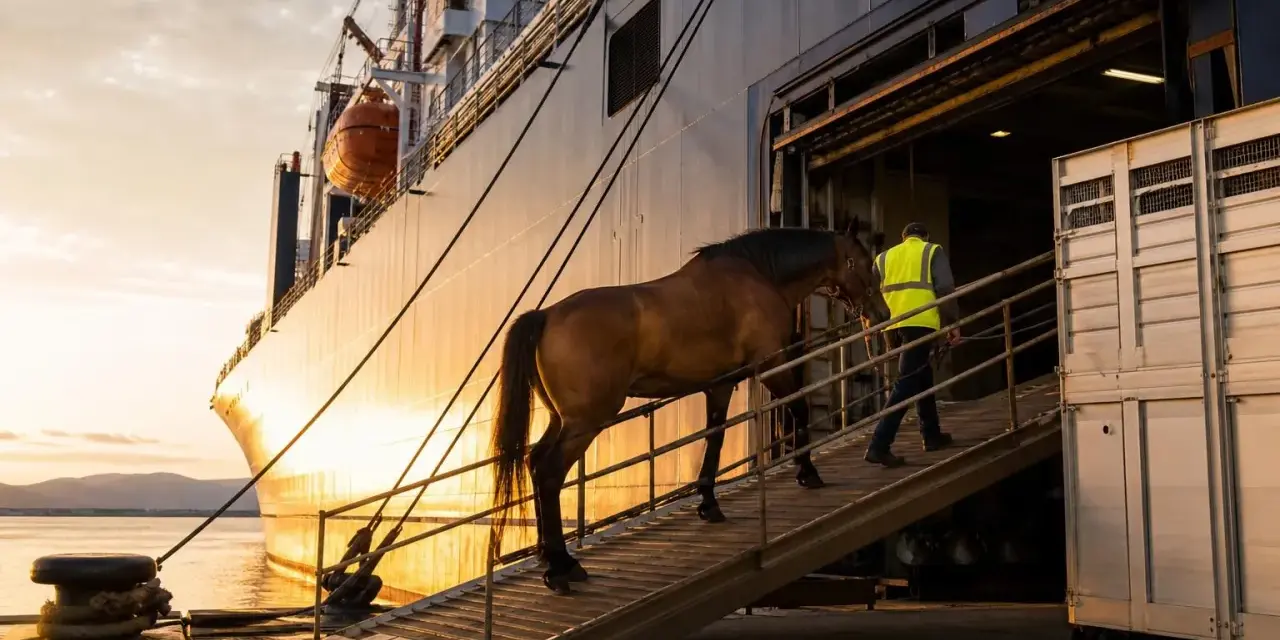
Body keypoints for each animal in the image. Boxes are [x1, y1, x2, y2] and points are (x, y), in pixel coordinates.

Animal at [488, 224, 890, 594]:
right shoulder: (771, 364)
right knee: (549, 474)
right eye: (864, 263)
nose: (881, 312)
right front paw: (808, 473)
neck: (759, 275)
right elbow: (799, 408)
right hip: (583, 423)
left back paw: (549, 556)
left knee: (535, 462)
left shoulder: (720, 384)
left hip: (561, 420)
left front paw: (709, 503)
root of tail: (545, 316)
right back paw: (562, 567)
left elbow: (715, 438)